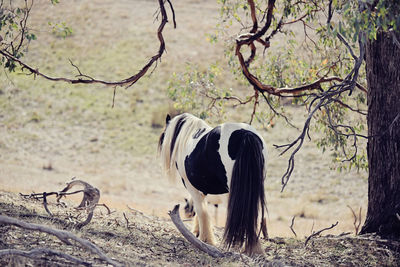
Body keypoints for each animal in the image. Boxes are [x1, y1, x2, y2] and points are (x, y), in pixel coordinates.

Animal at [158, 113, 268, 255]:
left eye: (163, 135)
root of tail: (245, 134)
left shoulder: (191, 186)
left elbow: (201, 211)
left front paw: (205, 240)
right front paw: (199, 232)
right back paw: (254, 248)